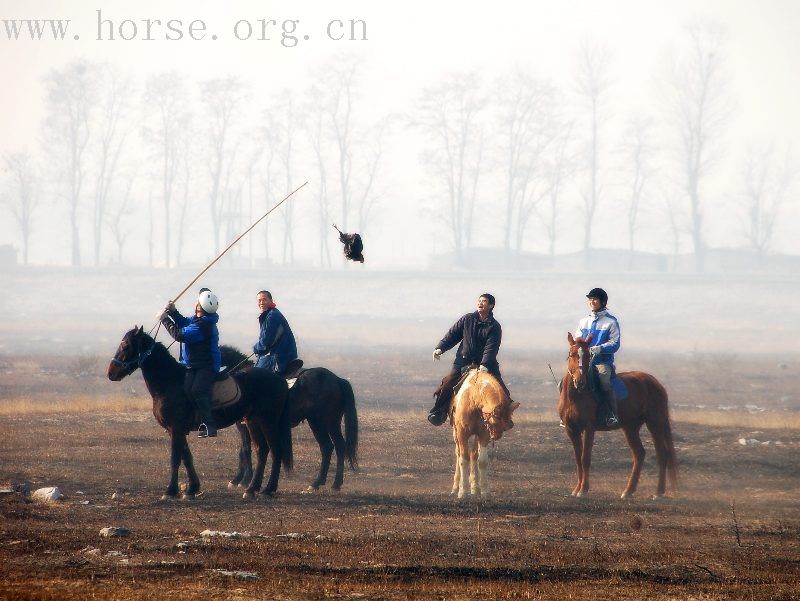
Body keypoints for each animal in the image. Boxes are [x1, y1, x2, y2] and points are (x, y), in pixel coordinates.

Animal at [108, 326, 292, 500]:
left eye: (125, 345)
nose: (111, 373)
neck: (170, 382)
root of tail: (280, 379)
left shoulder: (176, 428)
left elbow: (175, 458)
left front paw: (170, 491)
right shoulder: (175, 430)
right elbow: (186, 457)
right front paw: (192, 489)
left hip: (267, 421)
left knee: (275, 450)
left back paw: (268, 489)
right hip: (253, 421)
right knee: (262, 450)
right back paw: (252, 489)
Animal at [225, 346, 362, 492]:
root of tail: (337, 379)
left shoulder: (244, 425)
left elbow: (245, 450)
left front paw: (244, 480)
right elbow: (244, 450)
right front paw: (239, 479)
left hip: (323, 422)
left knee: (333, 446)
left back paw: (325, 483)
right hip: (324, 422)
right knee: (333, 446)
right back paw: (326, 483)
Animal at [450, 368, 520, 500]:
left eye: (507, 423)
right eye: (495, 420)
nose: (496, 435)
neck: (473, 398)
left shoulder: (483, 435)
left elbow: (482, 461)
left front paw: (484, 491)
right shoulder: (462, 433)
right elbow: (463, 459)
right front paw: (463, 492)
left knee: (473, 455)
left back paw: (475, 488)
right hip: (456, 433)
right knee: (458, 455)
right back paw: (456, 487)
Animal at [560, 332, 680, 496]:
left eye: (588, 356)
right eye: (572, 354)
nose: (580, 381)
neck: (577, 396)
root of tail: (655, 382)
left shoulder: (589, 428)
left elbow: (585, 458)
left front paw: (583, 490)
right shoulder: (571, 429)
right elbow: (578, 459)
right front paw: (576, 489)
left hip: (655, 423)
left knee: (662, 455)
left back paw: (658, 492)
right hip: (630, 427)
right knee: (639, 454)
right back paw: (628, 491)